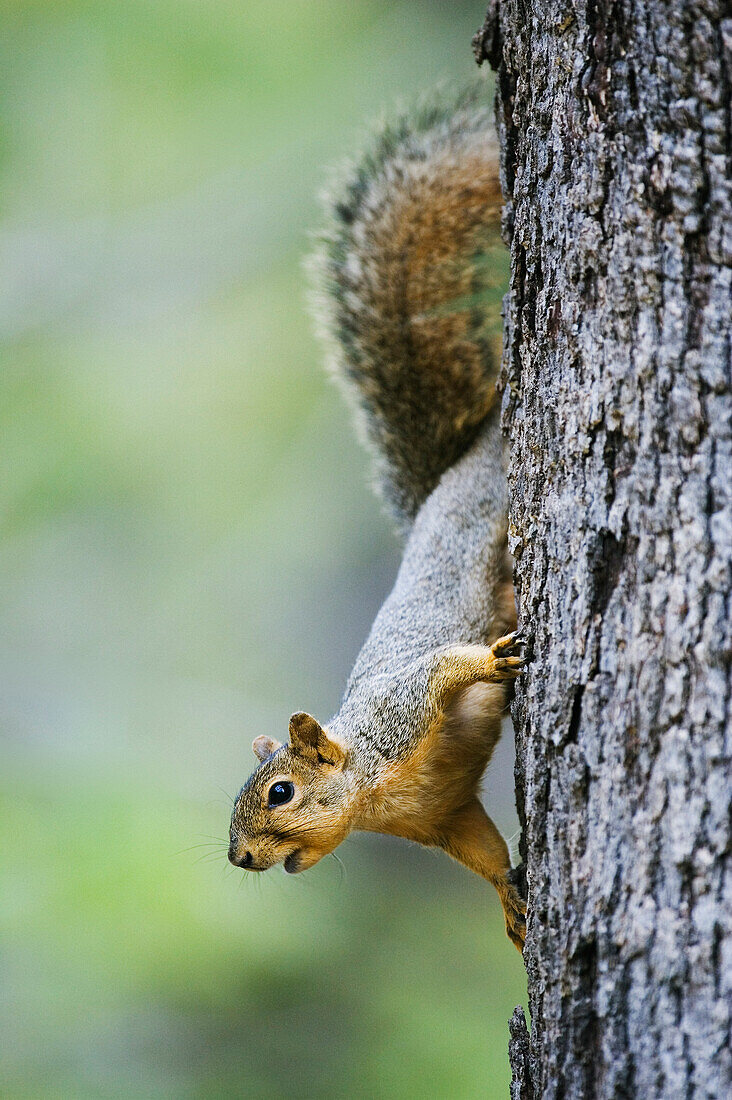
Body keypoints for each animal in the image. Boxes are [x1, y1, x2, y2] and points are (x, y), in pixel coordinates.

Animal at [226, 85, 526, 950]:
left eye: (281, 792)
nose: (237, 858)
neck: (371, 788)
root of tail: (465, 459)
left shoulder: (403, 708)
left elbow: (444, 668)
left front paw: (491, 661)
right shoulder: (446, 817)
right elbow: (484, 850)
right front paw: (511, 898)